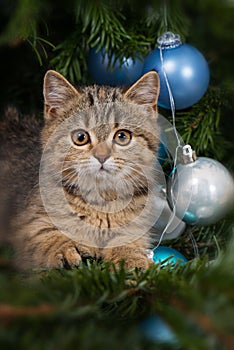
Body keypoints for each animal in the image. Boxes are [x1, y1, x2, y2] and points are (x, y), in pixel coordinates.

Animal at [2, 69, 160, 270]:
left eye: (122, 136)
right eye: (80, 137)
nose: (102, 156)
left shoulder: (137, 226)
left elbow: (129, 241)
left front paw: (131, 258)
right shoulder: (26, 221)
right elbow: (44, 235)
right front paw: (63, 250)